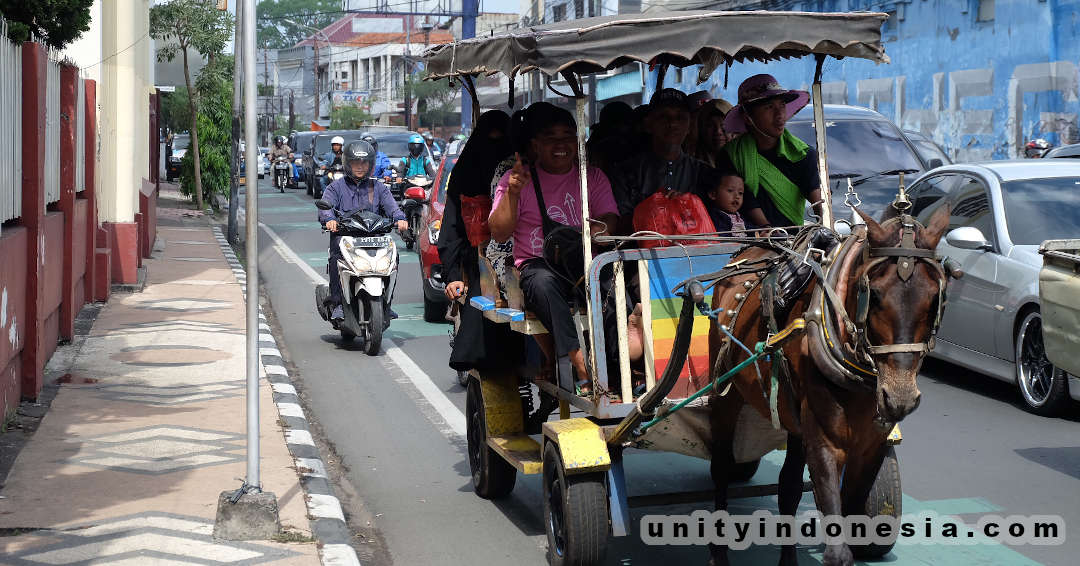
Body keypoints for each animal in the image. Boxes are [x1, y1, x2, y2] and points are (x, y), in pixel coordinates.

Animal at [708, 203, 954, 566]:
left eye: (936, 297)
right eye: (874, 294)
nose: (899, 398)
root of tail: (748, 252)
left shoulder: (871, 445)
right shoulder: (826, 441)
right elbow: (838, 551)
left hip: (795, 419)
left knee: (788, 487)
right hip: (725, 391)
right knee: (721, 468)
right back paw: (718, 551)